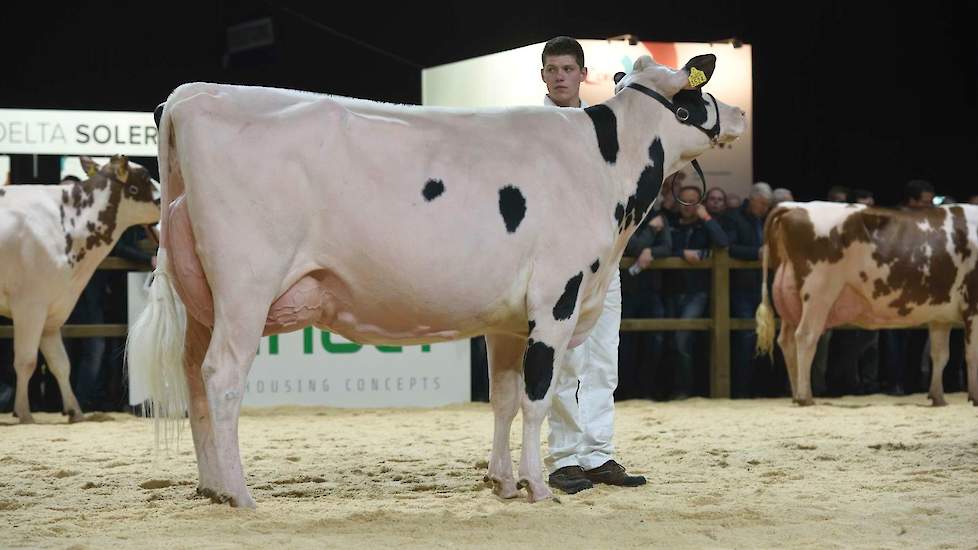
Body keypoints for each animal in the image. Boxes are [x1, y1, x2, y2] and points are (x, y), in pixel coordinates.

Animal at [0, 157, 159, 424]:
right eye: (145, 178)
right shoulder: (29, 306)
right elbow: (26, 360)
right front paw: (24, 413)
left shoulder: (53, 311)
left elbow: (60, 363)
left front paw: (75, 410)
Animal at [756, 202, 976, 406]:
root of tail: (795, 206)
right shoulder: (972, 308)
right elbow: (972, 353)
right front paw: (974, 397)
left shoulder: (941, 317)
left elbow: (940, 355)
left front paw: (938, 397)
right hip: (819, 293)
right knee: (805, 336)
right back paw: (805, 397)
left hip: (790, 301)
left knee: (786, 341)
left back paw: (796, 395)